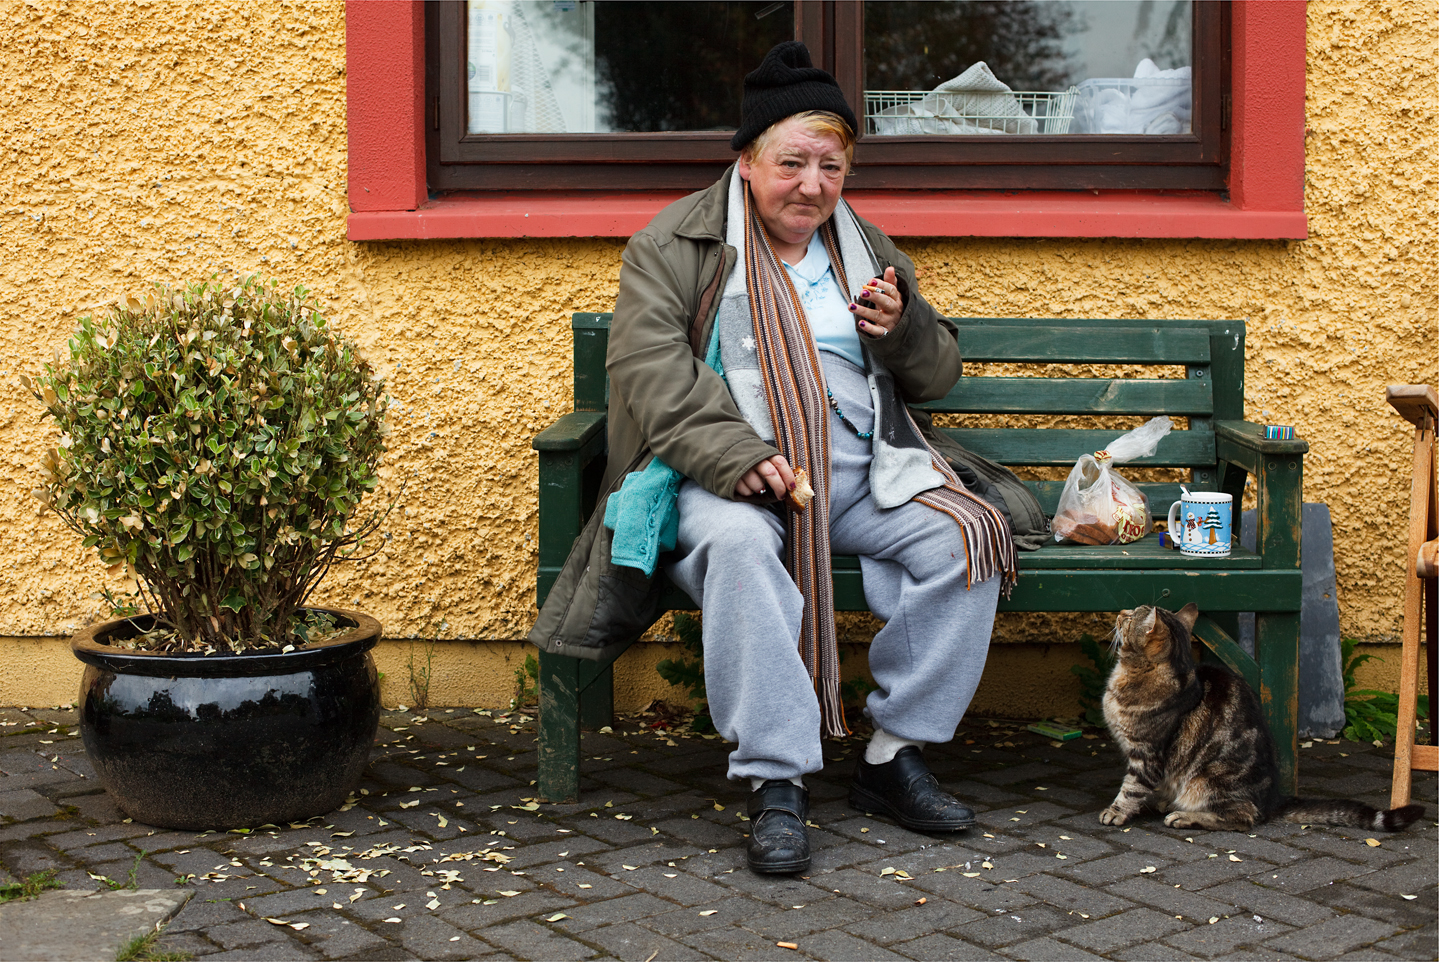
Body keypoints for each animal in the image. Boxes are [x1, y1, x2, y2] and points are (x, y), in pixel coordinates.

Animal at [1093, 603, 1421, 828]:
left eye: (1129, 618)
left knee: (1243, 816)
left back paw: (1185, 816)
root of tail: (1273, 800)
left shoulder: (1147, 754)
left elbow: (1132, 788)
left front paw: (1116, 811)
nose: (1120, 611)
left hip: (1207, 781)